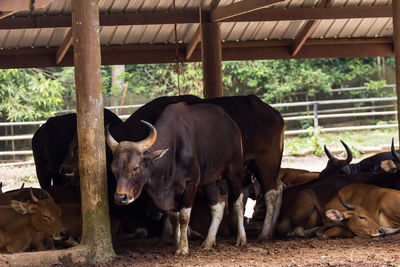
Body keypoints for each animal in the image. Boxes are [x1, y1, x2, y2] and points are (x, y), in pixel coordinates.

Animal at [107, 103, 247, 255]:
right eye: (113, 169)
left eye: (135, 168)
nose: (120, 197)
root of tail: (231, 123)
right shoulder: (170, 192)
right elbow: (174, 219)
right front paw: (177, 244)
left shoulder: (191, 183)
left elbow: (184, 217)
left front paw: (184, 248)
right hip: (210, 179)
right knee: (218, 206)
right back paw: (209, 241)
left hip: (234, 169)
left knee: (238, 202)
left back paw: (241, 239)